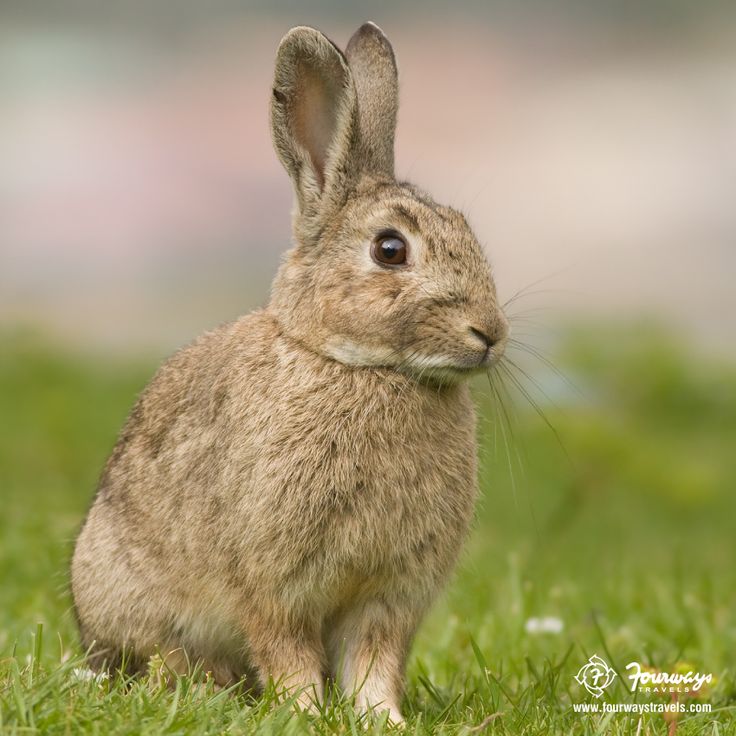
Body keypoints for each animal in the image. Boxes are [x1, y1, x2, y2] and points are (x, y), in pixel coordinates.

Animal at [72, 20, 508, 720]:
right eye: (390, 249)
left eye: (465, 228)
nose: (490, 334)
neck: (362, 367)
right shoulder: (273, 584)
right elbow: (287, 651)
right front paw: (304, 710)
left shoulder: (390, 595)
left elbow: (374, 661)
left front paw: (382, 719)